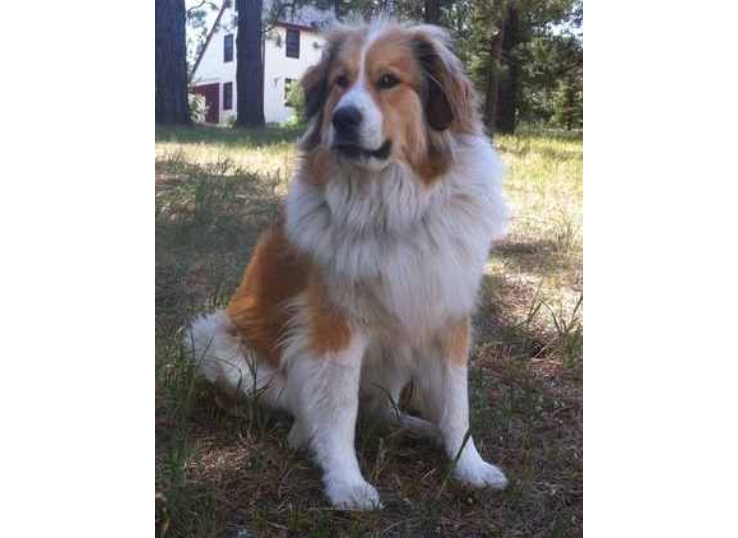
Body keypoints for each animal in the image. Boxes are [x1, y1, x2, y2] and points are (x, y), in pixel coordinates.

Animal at [187, 19, 508, 506]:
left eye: (388, 81)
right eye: (339, 82)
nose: (343, 119)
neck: (393, 208)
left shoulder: (448, 317)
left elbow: (457, 404)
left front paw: (468, 464)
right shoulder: (335, 325)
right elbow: (338, 409)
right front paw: (345, 481)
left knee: (383, 411)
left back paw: (420, 428)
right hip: (218, 345)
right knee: (306, 410)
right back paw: (305, 436)